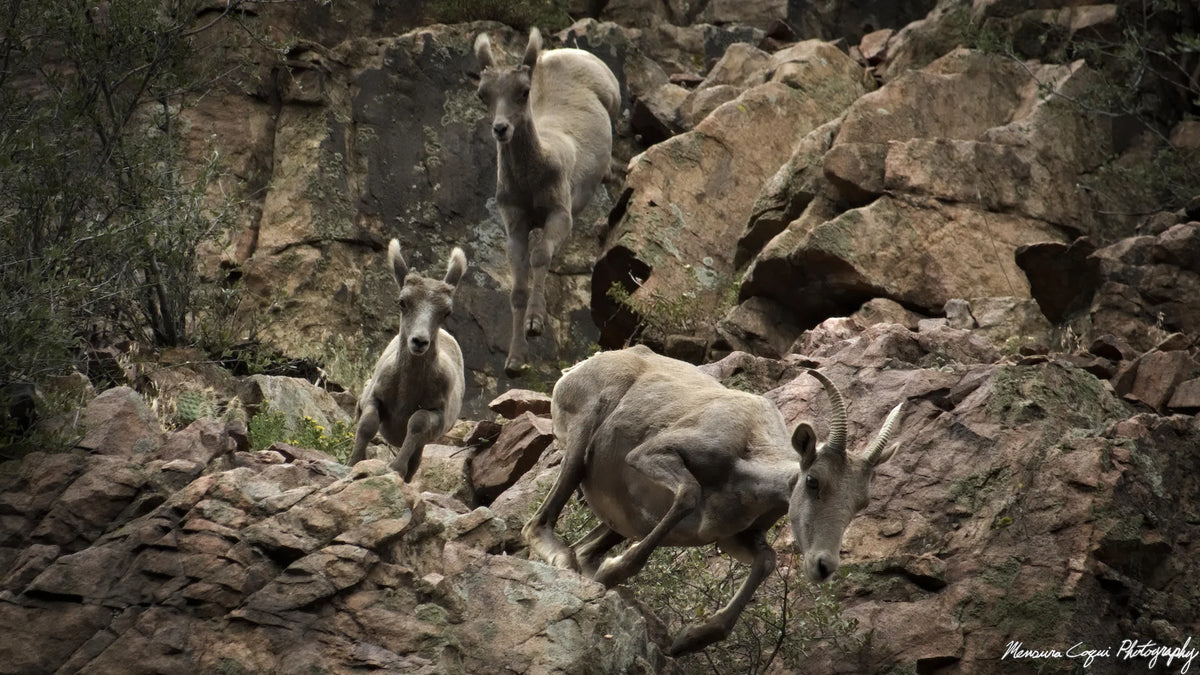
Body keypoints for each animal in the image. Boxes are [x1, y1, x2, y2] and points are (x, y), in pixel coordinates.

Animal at [348, 239, 467, 481]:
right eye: (402, 302)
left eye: (447, 312)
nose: (419, 341)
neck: (406, 391)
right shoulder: (374, 398)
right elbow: (367, 425)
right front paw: (355, 462)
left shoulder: (436, 414)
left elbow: (417, 424)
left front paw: (396, 468)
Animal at [472, 27, 620, 377]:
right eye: (483, 94)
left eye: (523, 92)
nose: (501, 128)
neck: (532, 180)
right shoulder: (514, 222)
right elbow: (517, 287)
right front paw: (515, 361)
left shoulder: (560, 214)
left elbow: (540, 257)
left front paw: (535, 325)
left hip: (616, 103)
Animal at [523, 345, 904, 655]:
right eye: (813, 481)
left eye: (861, 503)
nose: (823, 566)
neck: (745, 453)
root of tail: (575, 370)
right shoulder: (651, 456)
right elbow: (689, 495)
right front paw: (615, 570)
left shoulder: (731, 537)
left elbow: (767, 560)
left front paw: (689, 640)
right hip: (580, 442)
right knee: (537, 525)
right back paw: (563, 557)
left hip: (623, 520)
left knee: (587, 548)